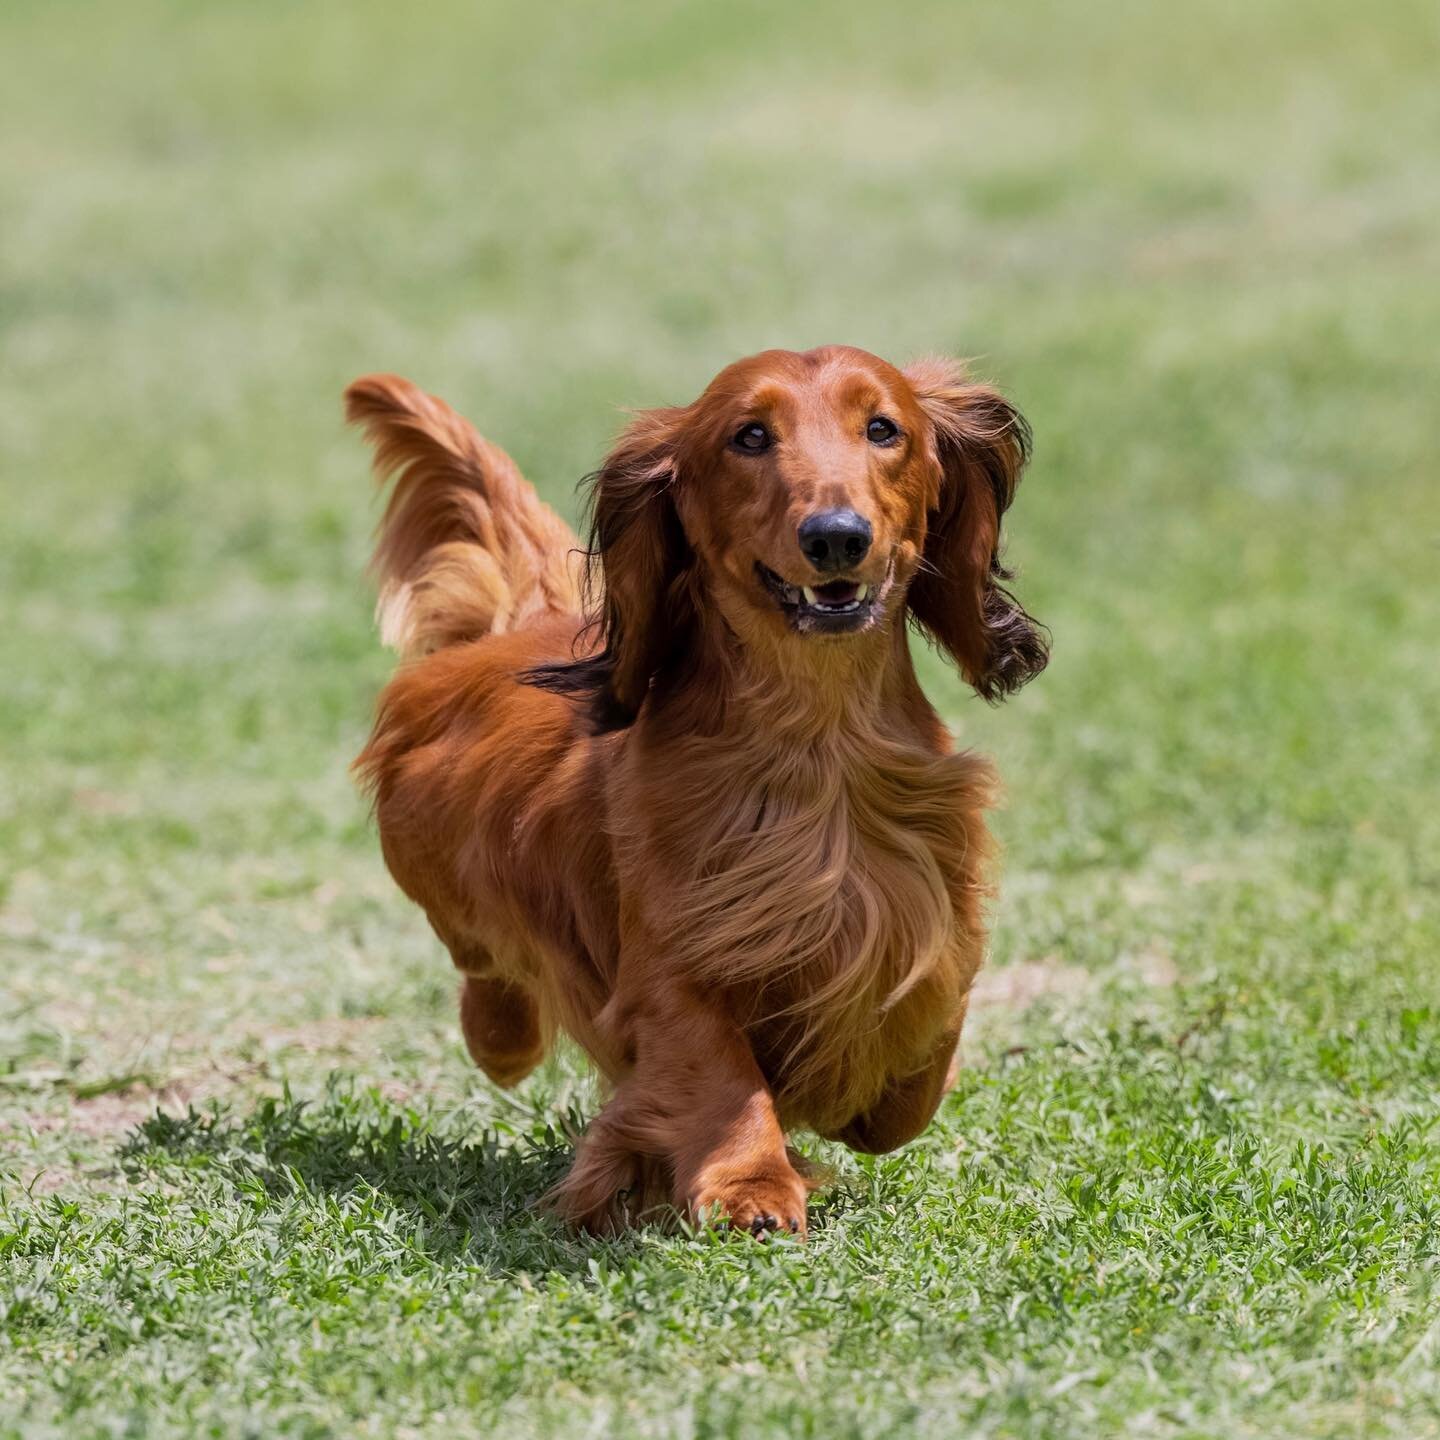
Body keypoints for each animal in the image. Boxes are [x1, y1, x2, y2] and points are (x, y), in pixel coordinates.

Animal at [348, 342, 1048, 1232]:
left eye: (883, 428)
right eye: (749, 436)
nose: (836, 538)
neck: (818, 743)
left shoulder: (929, 909)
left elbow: (912, 1073)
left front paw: (848, 1093)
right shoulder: (672, 963)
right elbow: (721, 1075)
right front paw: (750, 1184)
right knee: (483, 969)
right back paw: (500, 1035)